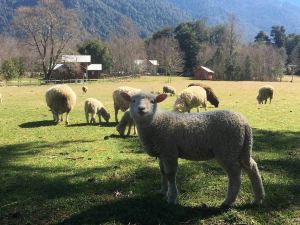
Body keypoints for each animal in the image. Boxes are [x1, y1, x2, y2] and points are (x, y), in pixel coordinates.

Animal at [120, 90, 264, 207]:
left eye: (153, 101)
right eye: (133, 100)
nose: (141, 109)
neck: (156, 122)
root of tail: (245, 123)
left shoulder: (169, 151)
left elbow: (170, 174)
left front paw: (172, 197)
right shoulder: (162, 152)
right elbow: (163, 173)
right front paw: (162, 191)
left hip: (227, 150)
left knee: (235, 175)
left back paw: (228, 201)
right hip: (240, 148)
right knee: (251, 167)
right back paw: (258, 198)